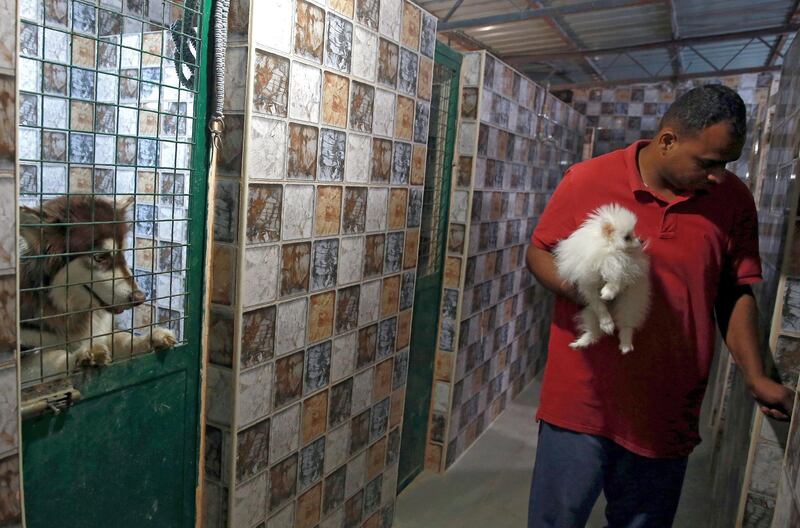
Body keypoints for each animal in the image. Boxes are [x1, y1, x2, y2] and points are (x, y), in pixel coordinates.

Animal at [19, 194, 177, 376]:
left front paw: (149, 338)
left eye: (123, 253)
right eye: (100, 257)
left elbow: (124, 338)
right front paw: (82, 356)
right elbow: (52, 356)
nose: (140, 298)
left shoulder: (104, 332)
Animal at [556, 203, 648, 354]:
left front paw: (608, 292)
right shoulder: (588, 286)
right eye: (627, 237)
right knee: (594, 331)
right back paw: (581, 343)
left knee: (626, 326)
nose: (641, 240)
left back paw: (626, 345)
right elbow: (599, 306)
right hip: (589, 313)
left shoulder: (623, 268)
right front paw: (607, 324)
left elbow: (616, 278)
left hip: (629, 303)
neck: (608, 250)